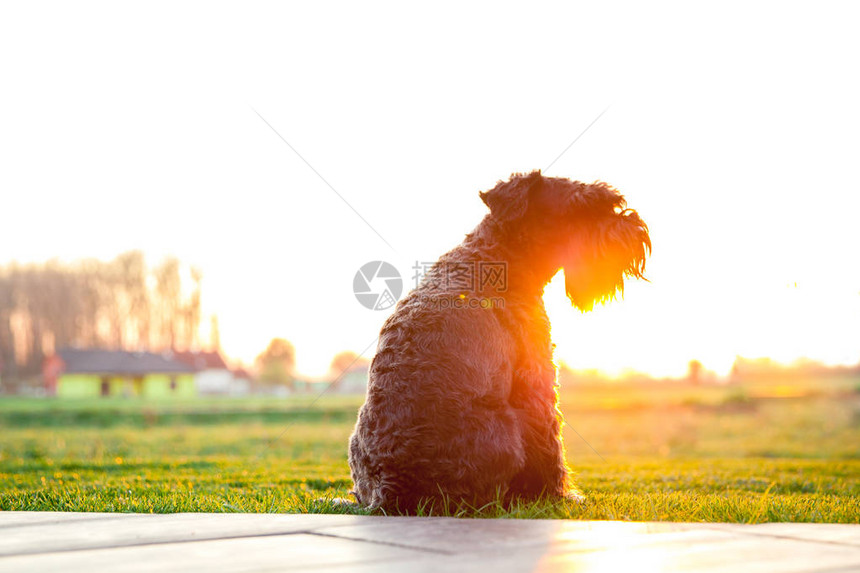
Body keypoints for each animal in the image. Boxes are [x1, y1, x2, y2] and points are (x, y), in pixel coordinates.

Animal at [346, 171, 648, 512]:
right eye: (582, 207)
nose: (635, 227)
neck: (498, 255)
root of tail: (390, 491)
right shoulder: (537, 379)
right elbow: (550, 440)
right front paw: (559, 495)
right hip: (504, 429)